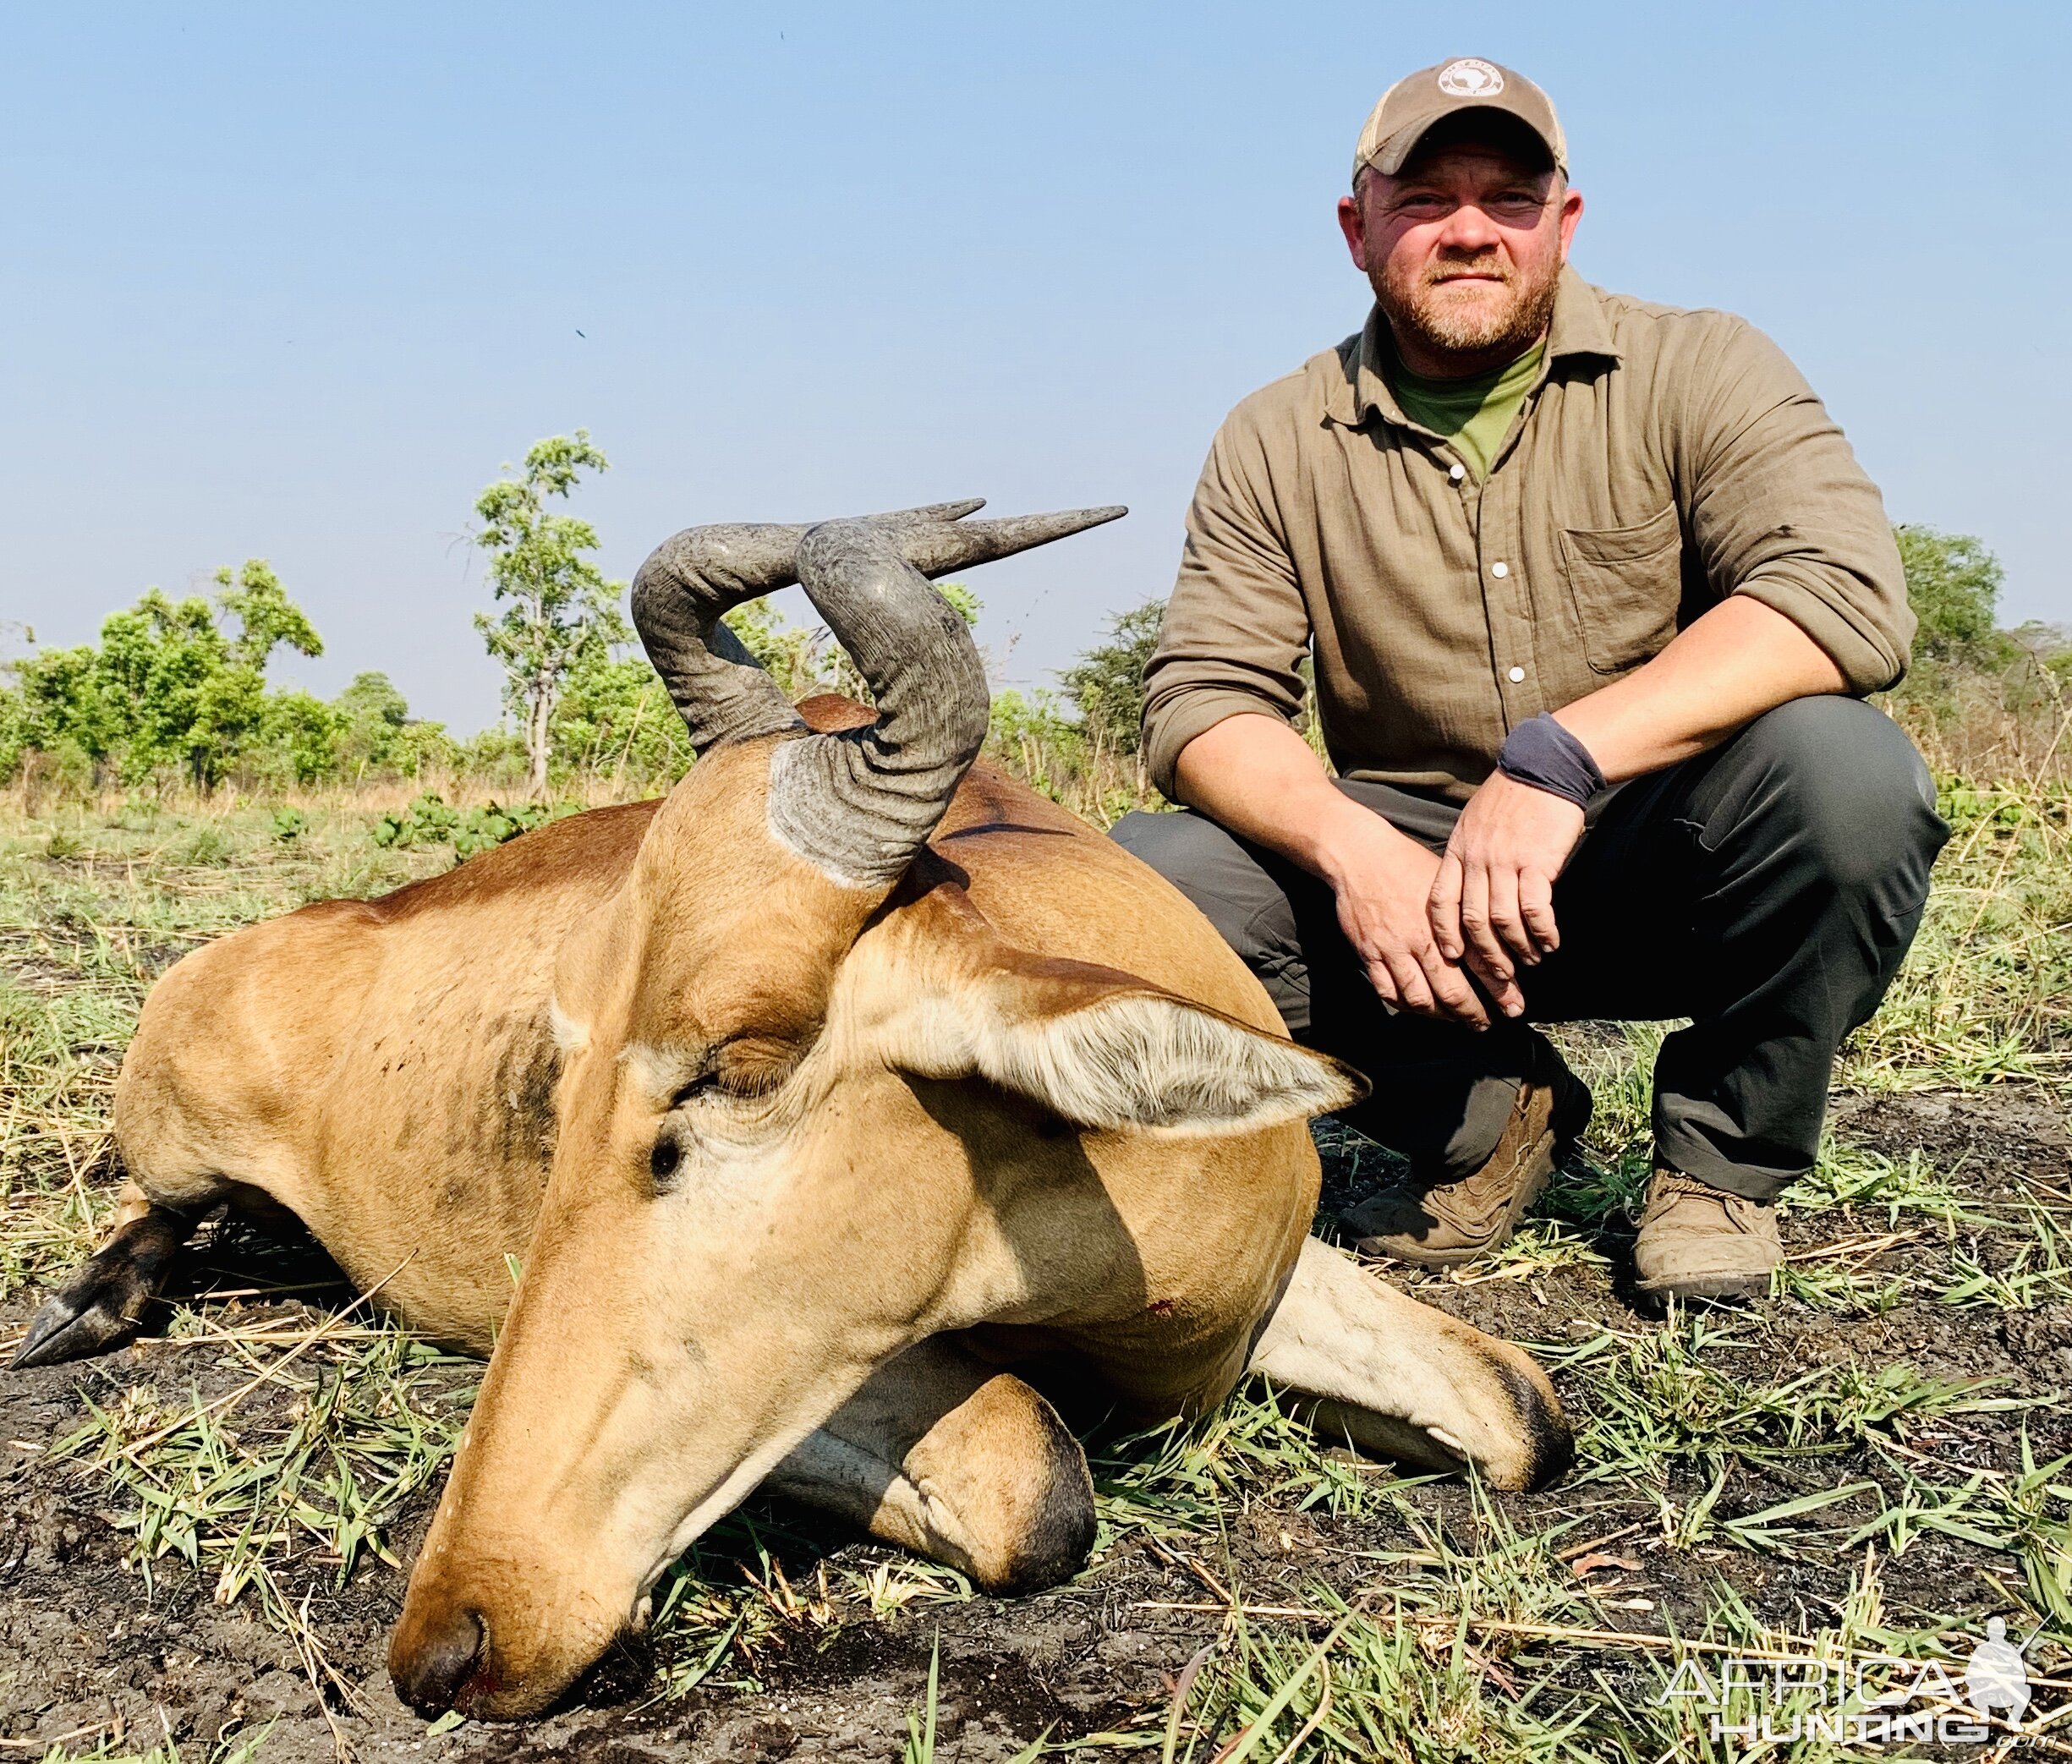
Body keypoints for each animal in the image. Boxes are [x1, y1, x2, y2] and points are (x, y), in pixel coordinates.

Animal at [12, 503, 1566, 1716]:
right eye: (561, 1067)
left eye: (738, 1060)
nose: (454, 1636)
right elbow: (1037, 1492)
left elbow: (1524, 1414)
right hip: (172, 1133)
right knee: (161, 1201)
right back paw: (85, 1304)